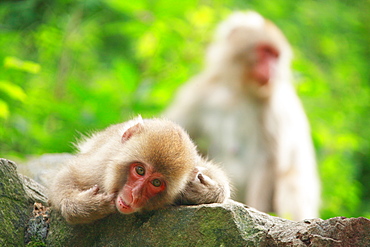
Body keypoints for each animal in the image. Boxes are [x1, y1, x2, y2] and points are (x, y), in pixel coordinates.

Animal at [47, 116, 230, 225]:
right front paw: (85, 207)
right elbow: (68, 173)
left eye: (156, 182)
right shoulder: (98, 167)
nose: (134, 194)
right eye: (140, 170)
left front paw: (206, 190)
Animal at [163, 11, 320, 220]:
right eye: (265, 51)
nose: (272, 69)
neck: (239, 91)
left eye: (275, 56)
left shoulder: (275, 106)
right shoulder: (199, 94)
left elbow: (269, 162)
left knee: (290, 178)